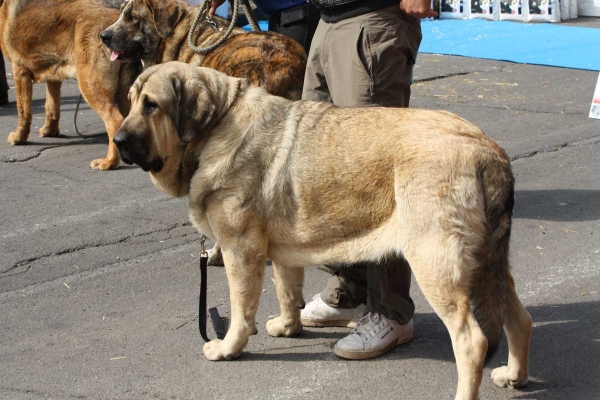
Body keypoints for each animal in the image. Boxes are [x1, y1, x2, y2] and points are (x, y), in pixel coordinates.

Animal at [0, 0, 141, 170]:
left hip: (89, 84)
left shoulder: (19, 71)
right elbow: (51, 107)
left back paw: (110, 161)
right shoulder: (53, 77)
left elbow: (23, 111)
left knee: (115, 121)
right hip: (123, 91)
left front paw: (19, 138)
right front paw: (50, 131)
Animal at [115, 61, 532, 398]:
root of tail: (487, 150)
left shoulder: (240, 250)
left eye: (151, 105)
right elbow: (286, 290)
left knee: (471, 341)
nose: (117, 141)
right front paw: (289, 326)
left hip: (437, 265)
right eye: (131, 101)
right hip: (488, 265)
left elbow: (241, 309)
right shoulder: (280, 250)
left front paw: (228, 347)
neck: (217, 126)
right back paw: (514, 375)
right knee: (518, 318)